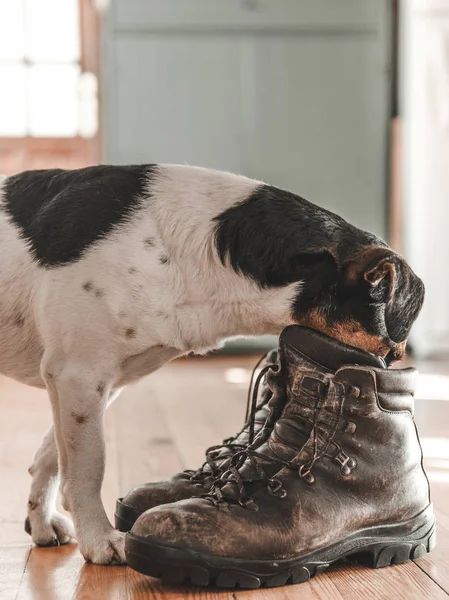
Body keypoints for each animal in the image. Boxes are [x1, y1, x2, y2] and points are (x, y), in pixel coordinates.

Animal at [0, 163, 424, 564]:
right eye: (390, 353)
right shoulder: (80, 374)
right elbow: (88, 467)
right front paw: (100, 540)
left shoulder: (89, 384)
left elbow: (51, 457)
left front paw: (42, 521)